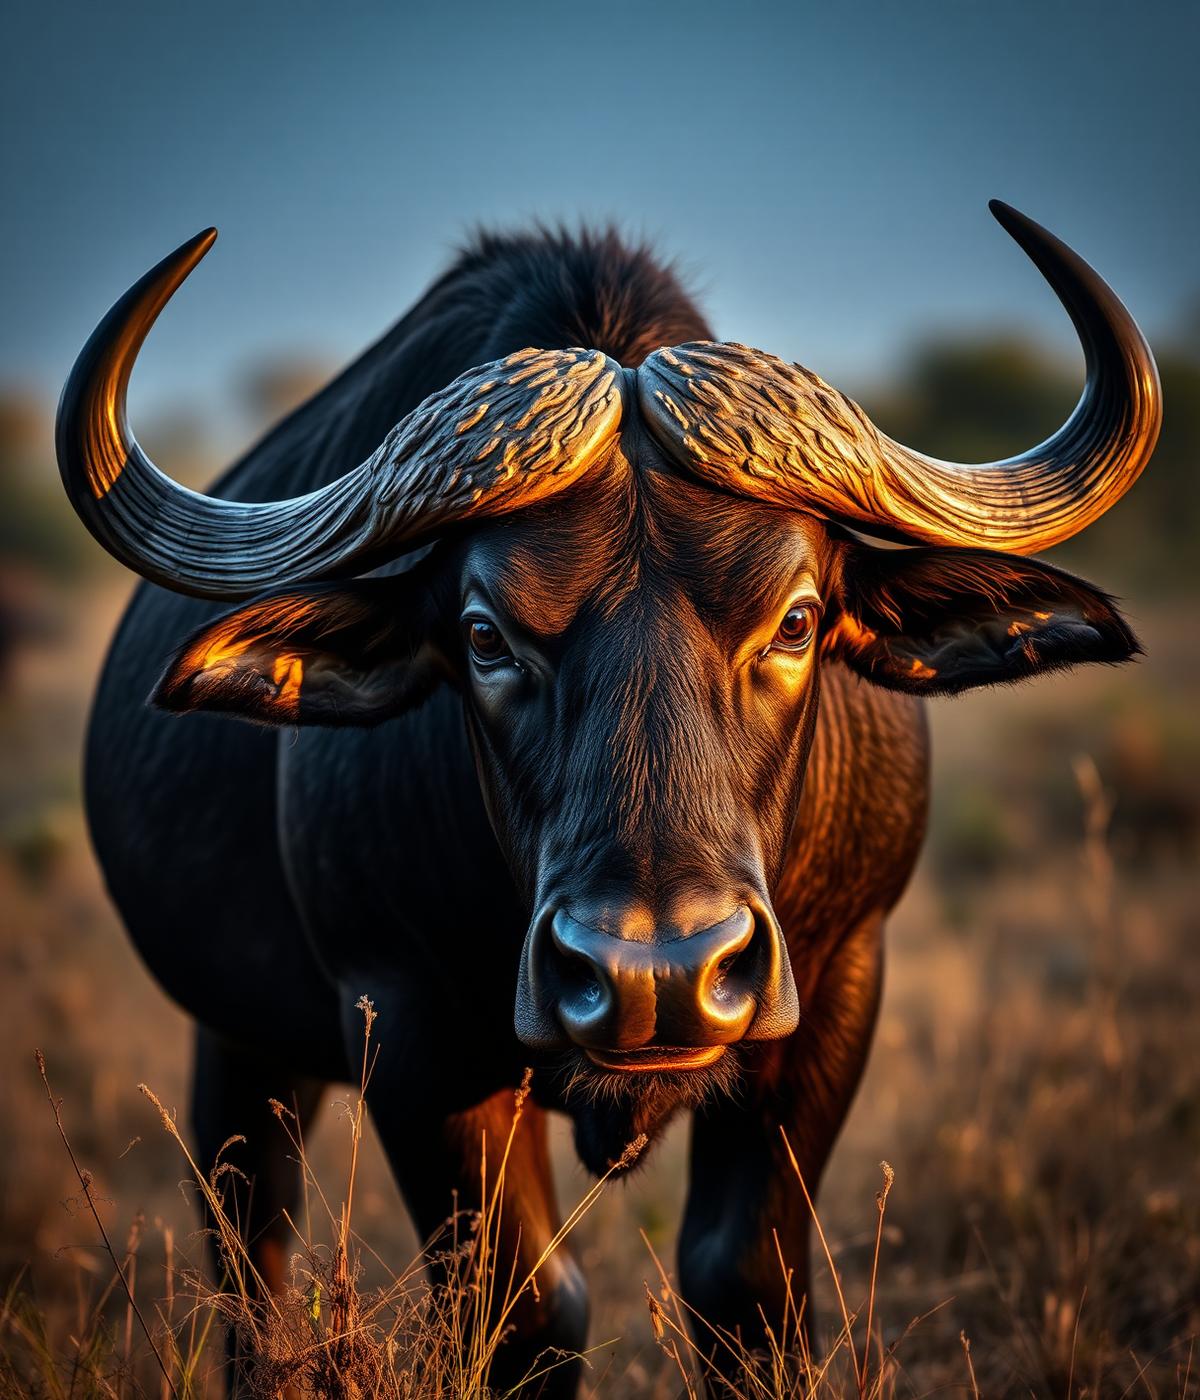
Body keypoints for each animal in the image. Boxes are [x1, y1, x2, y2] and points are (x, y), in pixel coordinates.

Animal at [56, 203, 1159, 1394]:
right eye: (484, 634)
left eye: (798, 619)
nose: (656, 979)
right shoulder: (411, 1034)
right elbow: (528, 1308)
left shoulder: (837, 987)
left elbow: (743, 1280)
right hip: (238, 1038)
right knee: (249, 1242)